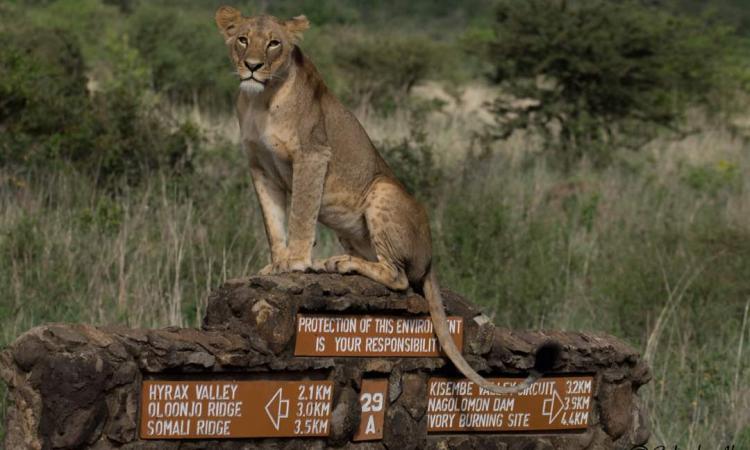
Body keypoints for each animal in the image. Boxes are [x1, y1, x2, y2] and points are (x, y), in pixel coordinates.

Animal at [215, 6, 551, 394]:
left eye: (274, 44)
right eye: (243, 39)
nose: (253, 66)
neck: (260, 100)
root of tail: (431, 258)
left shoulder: (312, 154)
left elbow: (300, 214)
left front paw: (296, 263)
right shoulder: (259, 167)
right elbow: (273, 223)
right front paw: (276, 264)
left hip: (382, 191)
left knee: (399, 277)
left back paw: (339, 263)